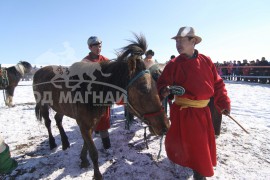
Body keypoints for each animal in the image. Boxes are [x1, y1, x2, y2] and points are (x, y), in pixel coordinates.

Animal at [32, 34, 170, 179]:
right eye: (144, 88)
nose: (165, 126)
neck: (90, 91)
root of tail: (38, 71)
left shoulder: (92, 122)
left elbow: (86, 145)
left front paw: (83, 159)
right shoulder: (83, 124)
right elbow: (93, 152)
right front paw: (97, 174)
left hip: (61, 107)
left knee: (58, 120)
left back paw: (65, 143)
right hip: (43, 105)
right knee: (48, 122)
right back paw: (52, 143)